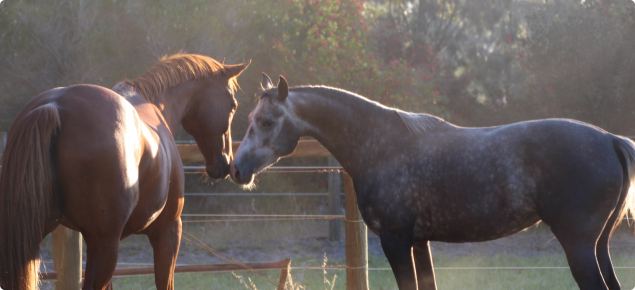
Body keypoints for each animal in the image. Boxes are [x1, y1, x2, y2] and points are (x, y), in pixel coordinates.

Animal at [232, 73, 635, 288]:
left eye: (266, 120)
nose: (236, 169)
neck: (382, 146)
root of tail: (611, 139)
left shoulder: (396, 241)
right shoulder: (418, 241)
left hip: (578, 245)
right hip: (599, 244)